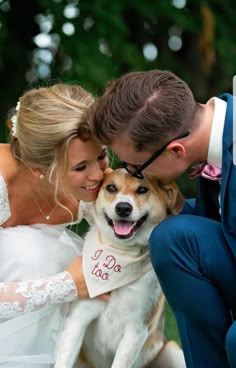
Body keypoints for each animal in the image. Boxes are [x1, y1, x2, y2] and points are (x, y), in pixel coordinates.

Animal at [54, 168, 185, 366]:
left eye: (142, 189)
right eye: (111, 187)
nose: (123, 208)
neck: (120, 253)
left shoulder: (136, 330)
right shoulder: (78, 318)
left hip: (173, 350)